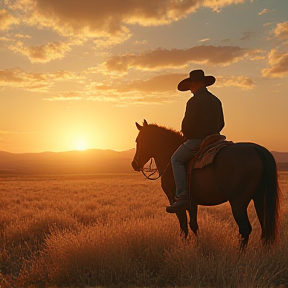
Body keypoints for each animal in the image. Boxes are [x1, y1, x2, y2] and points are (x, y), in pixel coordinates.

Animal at [132, 119, 280, 250]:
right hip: (260, 198)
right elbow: (193, 225)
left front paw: (183, 246)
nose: (134, 164)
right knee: (265, 228)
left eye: (138, 140)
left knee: (245, 229)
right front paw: (196, 246)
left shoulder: (174, 200)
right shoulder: (192, 202)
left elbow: (183, 225)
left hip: (238, 202)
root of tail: (256, 149)